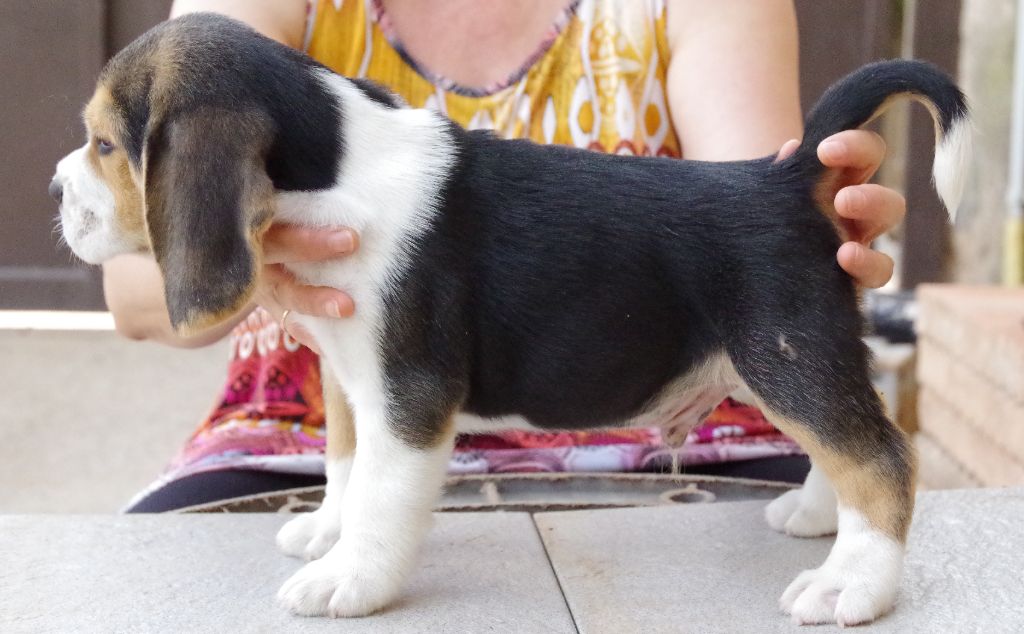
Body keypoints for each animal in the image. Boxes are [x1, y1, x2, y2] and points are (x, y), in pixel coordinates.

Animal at [51, 13, 970, 626]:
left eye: (105, 145)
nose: (56, 190)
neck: (332, 169)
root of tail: (785, 174)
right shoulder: (349, 380)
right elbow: (346, 469)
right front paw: (326, 533)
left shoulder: (409, 398)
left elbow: (381, 495)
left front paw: (351, 579)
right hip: (789, 362)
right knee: (849, 446)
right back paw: (820, 519)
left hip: (787, 356)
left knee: (881, 457)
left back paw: (853, 585)